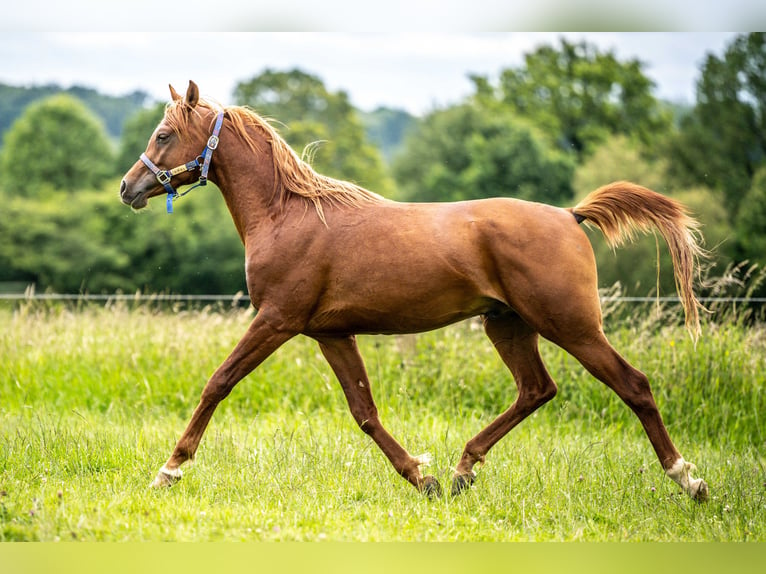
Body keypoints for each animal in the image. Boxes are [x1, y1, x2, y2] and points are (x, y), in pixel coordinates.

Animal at [121, 82, 712, 504]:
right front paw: (420, 477)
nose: (128, 187)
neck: (288, 213)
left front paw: (168, 471)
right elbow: (364, 411)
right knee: (536, 389)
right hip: (507, 324)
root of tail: (571, 215)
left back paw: (689, 480)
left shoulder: (276, 320)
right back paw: (461, 471)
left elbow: (217, 384)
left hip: (570, 325)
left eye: (164, 134)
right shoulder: (330, 333)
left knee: (633, 385)